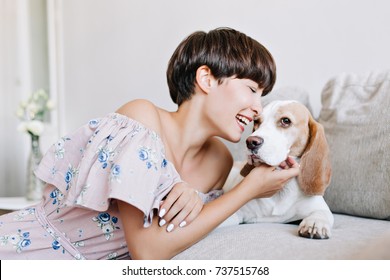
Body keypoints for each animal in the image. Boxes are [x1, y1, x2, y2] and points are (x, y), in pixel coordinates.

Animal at [224, 100, 334, 238]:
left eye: (285, 120)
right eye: (257, 121)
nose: (250, 142)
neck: (282, 191)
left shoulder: (319, 207)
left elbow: (322, 213)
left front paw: (315, 223)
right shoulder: (236, 213)